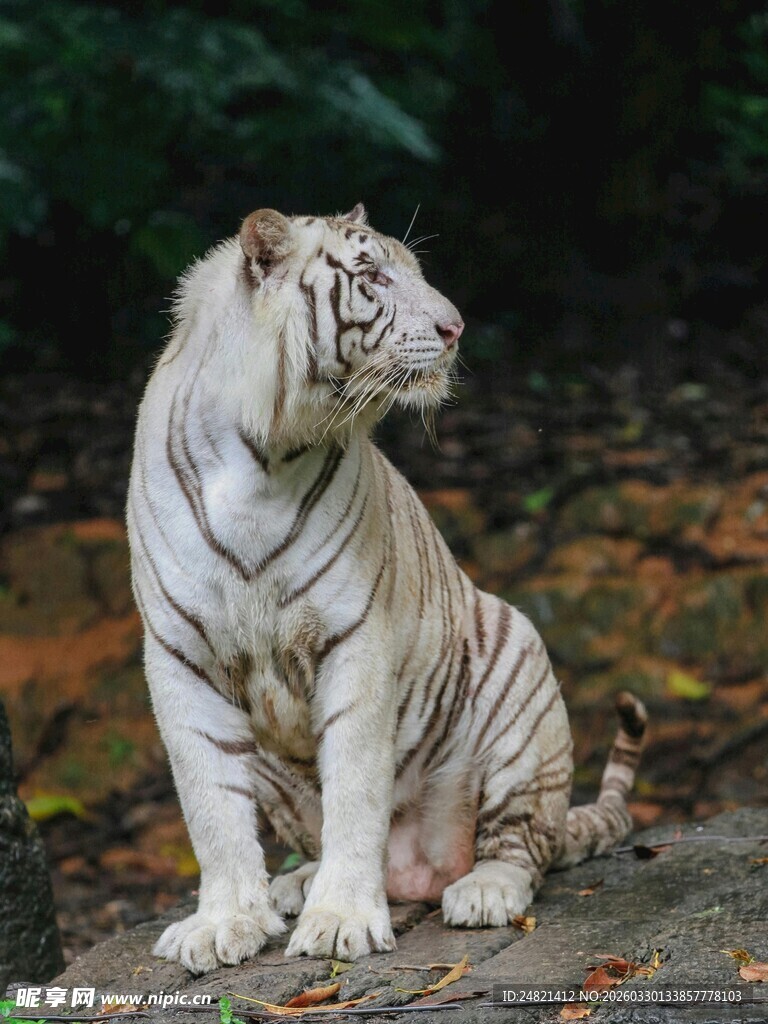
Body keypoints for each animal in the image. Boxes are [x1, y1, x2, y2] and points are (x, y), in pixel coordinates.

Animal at [126, 203, 647, 974]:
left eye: (416, 270)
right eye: (372, 276)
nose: (455, 327)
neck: (263, 459)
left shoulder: (354, 637)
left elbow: (354, 786)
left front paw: (340, 920)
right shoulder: (177, 655)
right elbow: (209, 806)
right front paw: (224, 923)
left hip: (519, 669)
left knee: (525, 844)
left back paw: (482, 890)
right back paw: (295, 886)